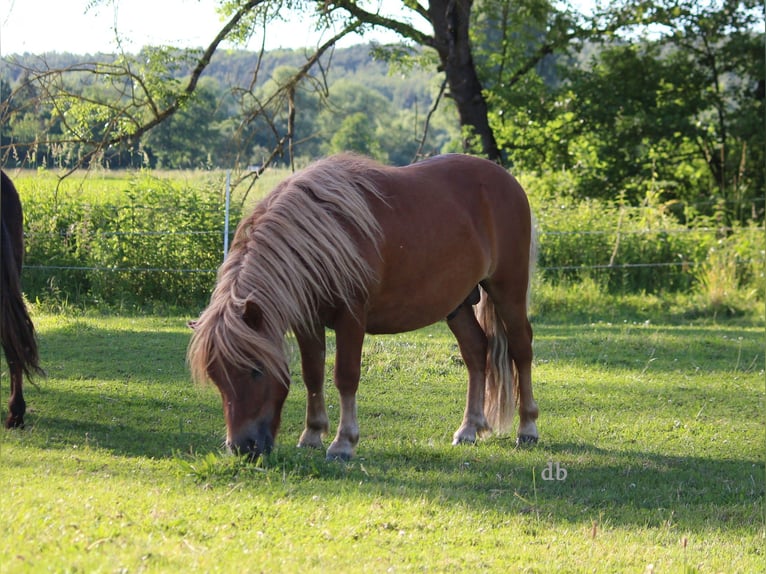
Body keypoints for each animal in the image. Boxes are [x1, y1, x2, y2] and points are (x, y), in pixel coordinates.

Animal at [189, 155, 540, 462]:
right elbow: (313, 374)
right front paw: (312, 434)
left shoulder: (352, 318)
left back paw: (528, 428)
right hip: (457, 304)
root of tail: (508, 181)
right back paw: (468, 428)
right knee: (476, 351)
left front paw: (343, 443)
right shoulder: (307, 321)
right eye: (216, 376)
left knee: (521, 350)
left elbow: (345, 376)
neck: (324, 237)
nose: (241, 447)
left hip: (507, 290)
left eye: (256, 370)